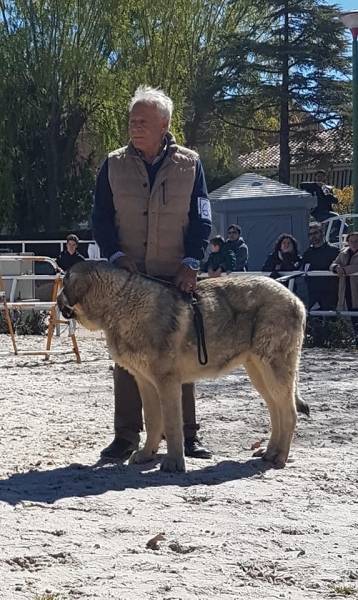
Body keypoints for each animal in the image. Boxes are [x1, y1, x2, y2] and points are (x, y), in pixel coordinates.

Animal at [58, 262, 308, 474]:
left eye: (64, 282)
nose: (58, 300)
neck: (121, 302)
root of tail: (297, 300)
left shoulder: (166, 381)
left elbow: (170, 423)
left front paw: (174, 462)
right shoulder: (145, 381)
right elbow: (152, 420)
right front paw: (146, 454)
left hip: (273, 369)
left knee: (289, 413)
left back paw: (279, 457)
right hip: (258, 372)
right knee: (276, 411)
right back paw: (269, 451)